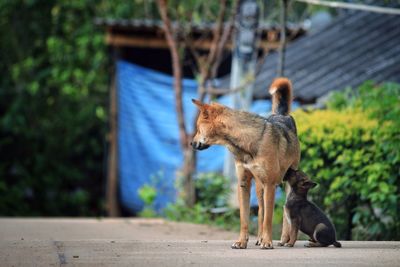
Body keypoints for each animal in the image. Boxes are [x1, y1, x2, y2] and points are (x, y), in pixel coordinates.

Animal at [191, 77, 300, 249]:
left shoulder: (270, 184)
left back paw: (283, 239)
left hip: (286, 182)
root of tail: (281, 115)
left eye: (197, 128)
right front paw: (242, 242)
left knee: (282, 211)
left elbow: (269, 219)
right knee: (261, 211)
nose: (191, 143)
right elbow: (245, 218)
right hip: (259, 188)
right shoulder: (243, 183)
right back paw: (260, 238)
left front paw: (268, 242)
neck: (245, 145)